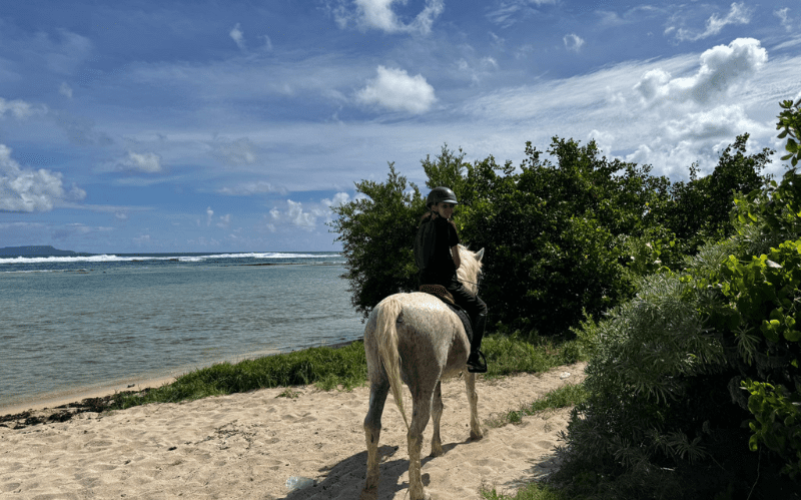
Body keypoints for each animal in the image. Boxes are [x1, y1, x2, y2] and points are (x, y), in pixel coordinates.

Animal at [361, 245, 485, 500]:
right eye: (480, 274)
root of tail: (394, 305)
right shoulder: (467, 370)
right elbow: (472, 397)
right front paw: (476, 431)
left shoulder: (436, 380)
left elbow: (439, 408)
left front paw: (437, 448)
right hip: (420, 386)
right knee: (414, 433)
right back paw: (418, 490)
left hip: (379, 380)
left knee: (372, 425)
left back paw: (370, 484)